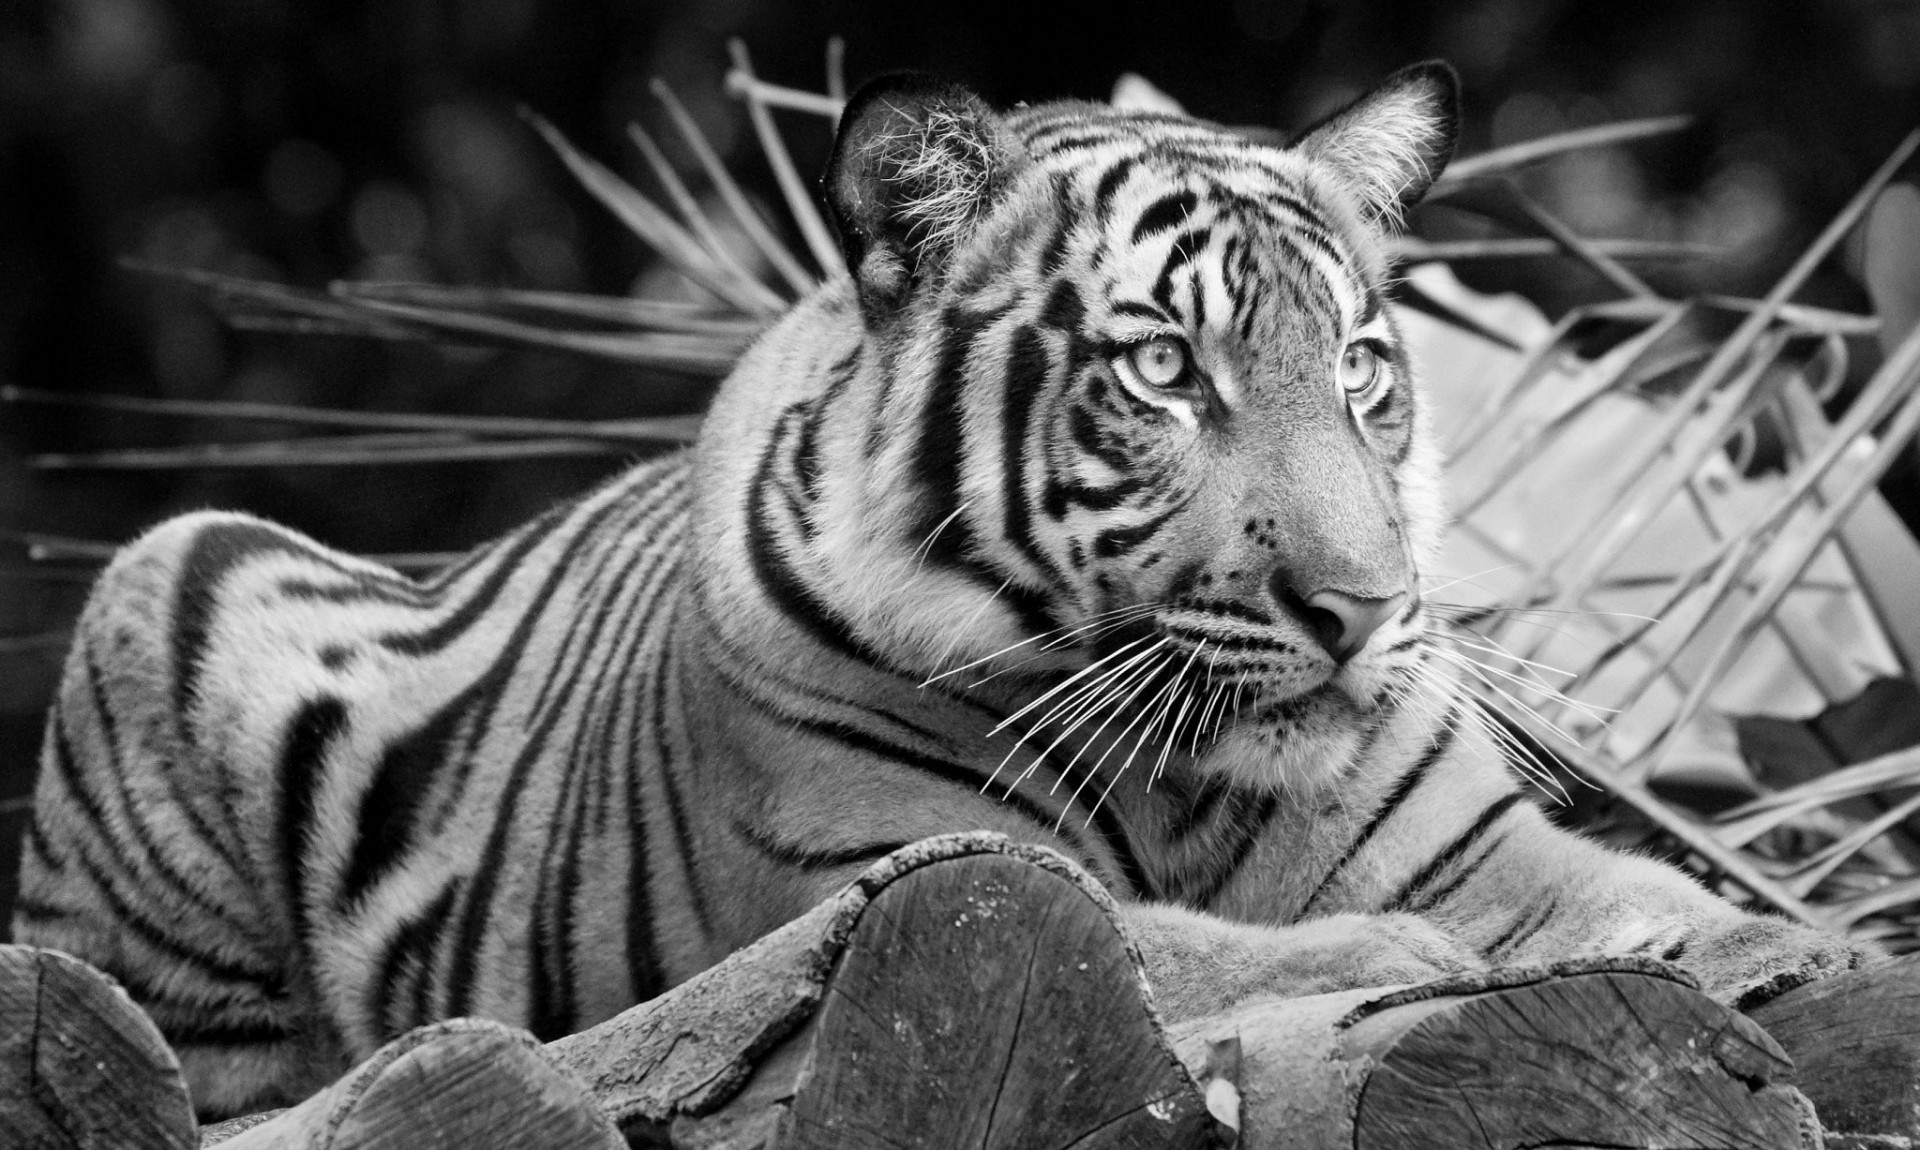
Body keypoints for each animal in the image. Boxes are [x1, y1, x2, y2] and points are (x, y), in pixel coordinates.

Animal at [11, 60, 1873, 1113]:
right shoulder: (915, 873)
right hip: (179, 574)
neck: (1196, 771)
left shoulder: (1487, 843)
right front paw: (1427, 956)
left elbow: (1744, 922)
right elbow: (1216, 953)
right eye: (1163, 369)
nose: (1357, 610)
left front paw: (1780, 943)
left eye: (1359, 372)